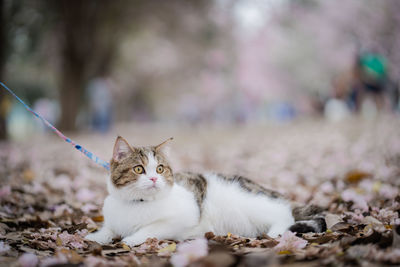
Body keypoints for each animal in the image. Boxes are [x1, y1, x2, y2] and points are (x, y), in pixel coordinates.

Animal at [86, 137, 326, 248]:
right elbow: (108, 229)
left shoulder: (185, 215)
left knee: (284, 213)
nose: (154, 178)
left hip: (252, 204)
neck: (137, 202)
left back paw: (276, 231)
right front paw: (95, 236)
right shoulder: (113, 219)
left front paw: (131, 238)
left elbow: (151, 228)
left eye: (160, 169)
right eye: (139, 169)